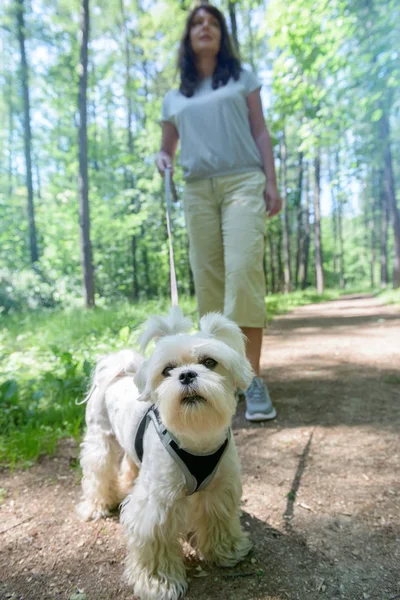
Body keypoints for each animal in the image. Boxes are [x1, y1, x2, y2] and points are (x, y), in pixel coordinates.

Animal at [77, 310, 253, 600]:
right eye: (168, 370)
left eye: (209, 362)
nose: (187, 375)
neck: (196, 438)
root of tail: (118, 372)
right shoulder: (157, 504)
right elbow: (156, 540)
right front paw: (158, 583)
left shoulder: (219, 489)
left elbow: (219, 519)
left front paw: (226, 550)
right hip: (100, 440)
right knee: (97, 473)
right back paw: (96, 505)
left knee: (130, 462)